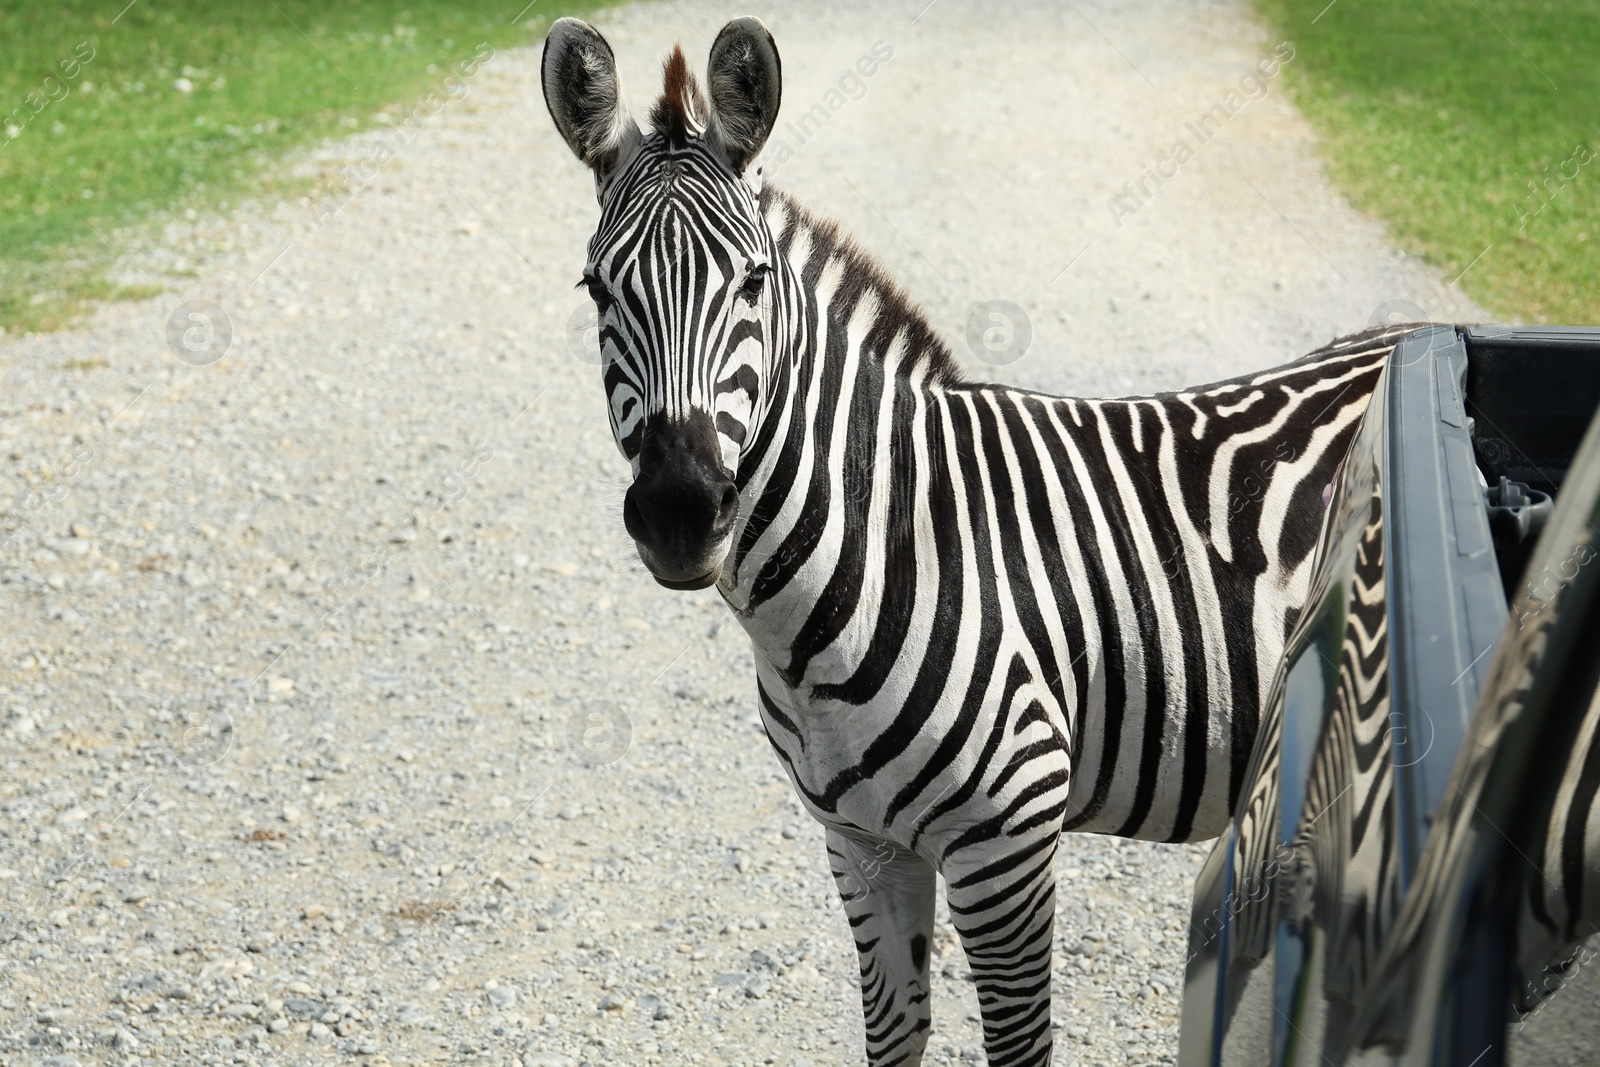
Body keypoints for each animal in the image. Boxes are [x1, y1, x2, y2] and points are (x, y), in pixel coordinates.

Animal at [544, 14, 1408, 1062]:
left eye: (753, 280)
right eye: (596, 289)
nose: (678, 509)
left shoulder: (1010, 842)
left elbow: (1018, 1043)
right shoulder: (862, 846)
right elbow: (894, 1031)